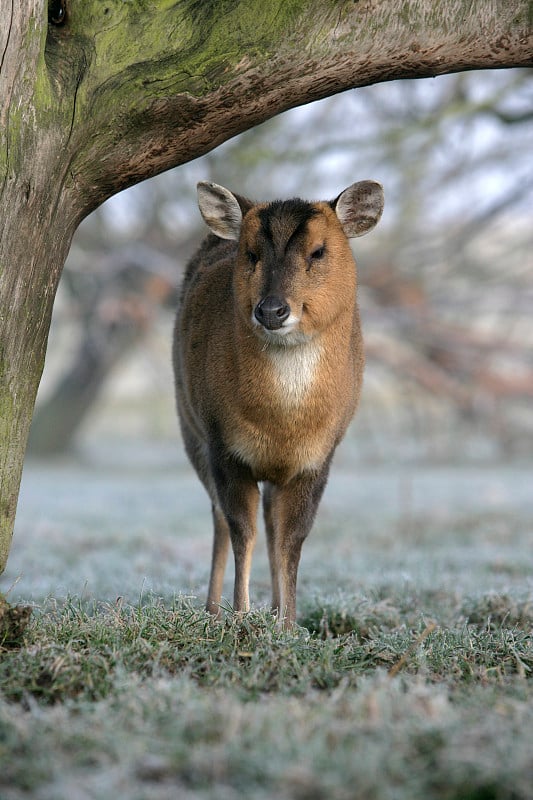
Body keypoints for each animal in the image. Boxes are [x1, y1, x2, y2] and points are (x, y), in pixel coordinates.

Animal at [172, 178, 384, 628]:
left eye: (318, 251)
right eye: (251, 253)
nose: (271, 310)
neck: (282, 425)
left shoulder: (319, 457)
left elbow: (292, 539)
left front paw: (289, 625)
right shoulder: (223, 445)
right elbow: (241, 529)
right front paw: (239, 616)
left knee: (270, 517)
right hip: (188, 425)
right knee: (220, 517)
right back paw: (212, 609)